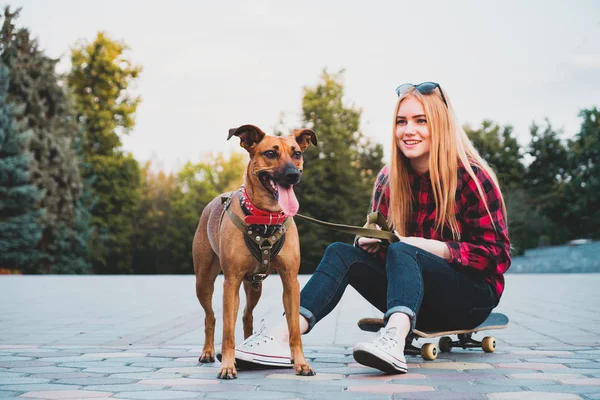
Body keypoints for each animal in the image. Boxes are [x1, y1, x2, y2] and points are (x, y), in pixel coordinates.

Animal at [195, 124, 318, 378]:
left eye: (297, 153)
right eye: (270, 153)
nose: (293, 175)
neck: (266, 218)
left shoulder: (290, 281)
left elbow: (294, 330)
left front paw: (301, 363)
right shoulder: (231, 281)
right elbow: (228, 332)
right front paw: (227, 366)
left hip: (254, 286)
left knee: (246, 315)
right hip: (204, 281)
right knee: (211, 317)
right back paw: (209, 352)